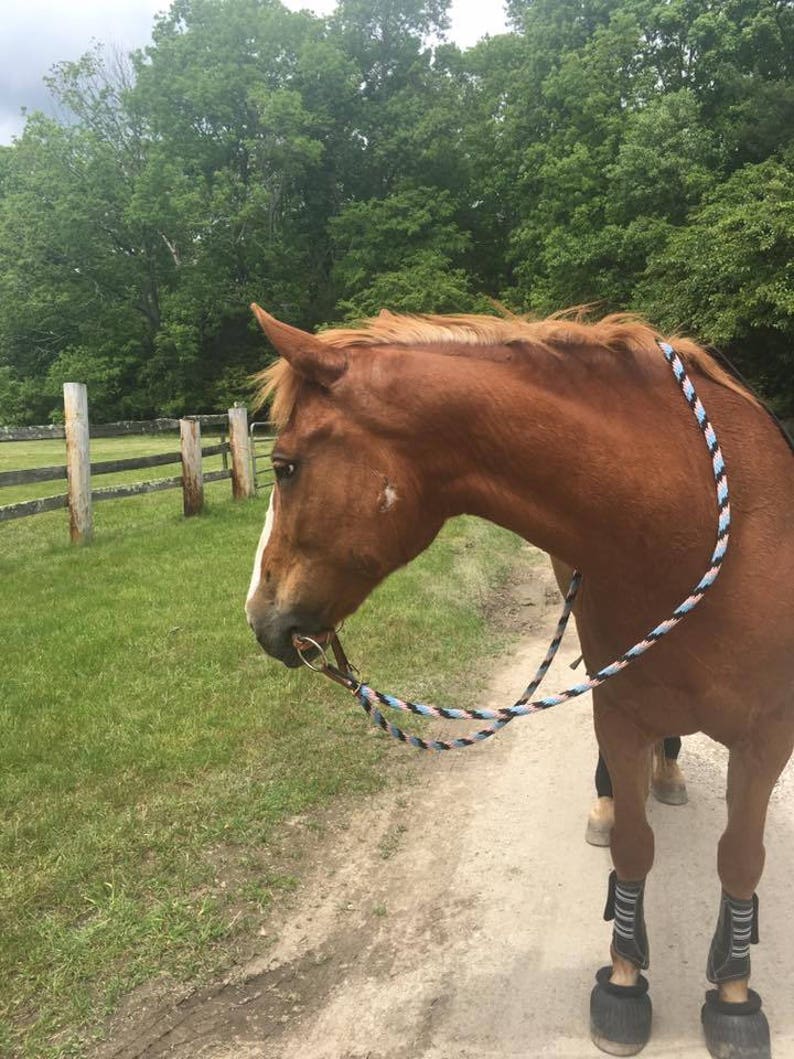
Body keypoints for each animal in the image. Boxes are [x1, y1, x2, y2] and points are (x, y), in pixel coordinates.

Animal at [245, 302, 791, 1054]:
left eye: (285, 466)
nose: (258, 616)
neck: (687, 528)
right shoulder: (620, 707)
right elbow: (633, 848)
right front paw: (624, 980)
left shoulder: (769, 736)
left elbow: (740, 858)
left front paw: (734, 996)